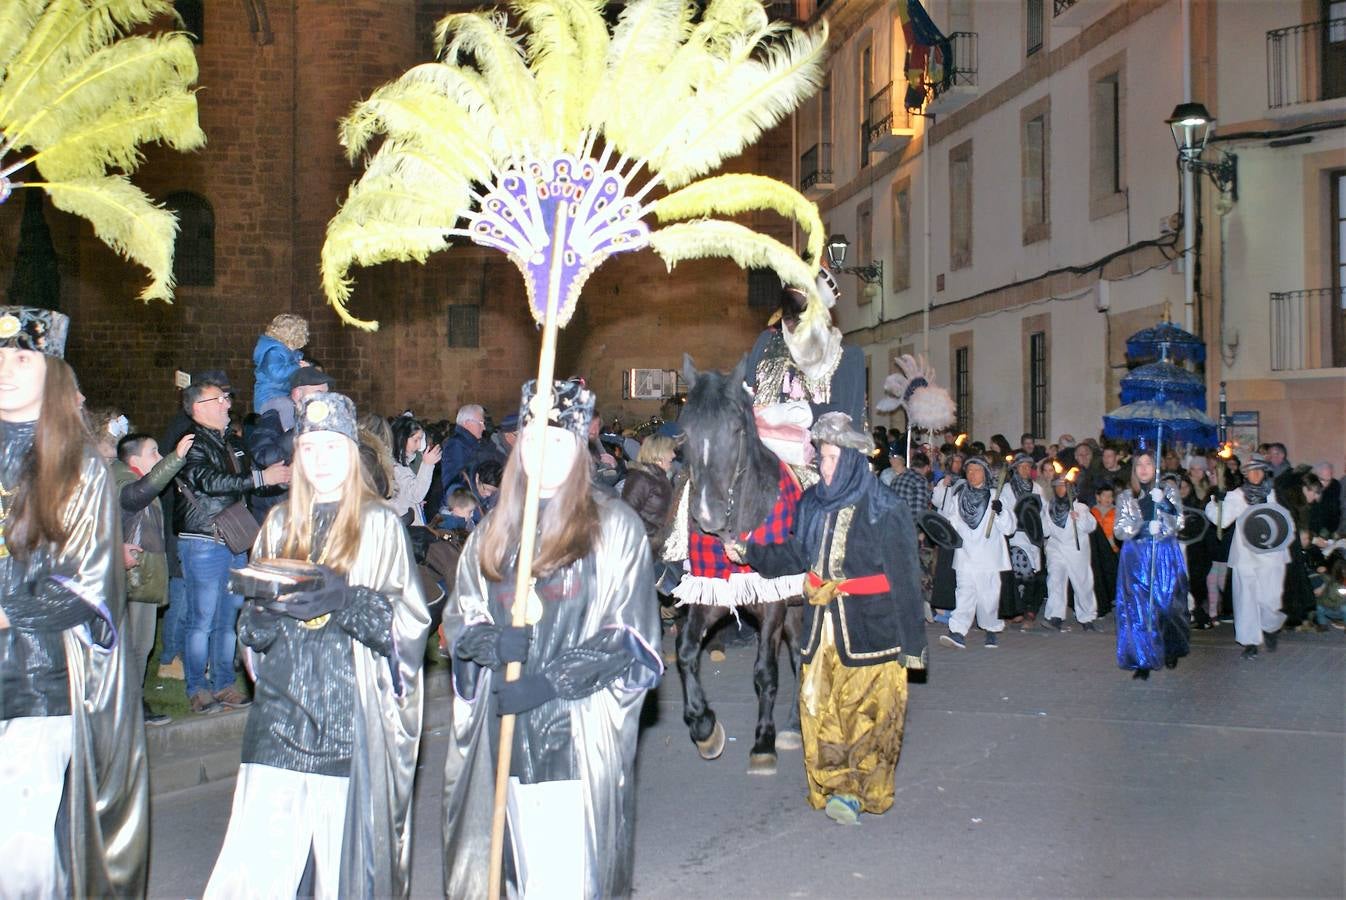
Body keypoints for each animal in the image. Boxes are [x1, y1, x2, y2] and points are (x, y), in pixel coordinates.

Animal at [673, 355, 796, 774]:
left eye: (736, 429)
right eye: (685, 431)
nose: (707, 514)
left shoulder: (775, 602)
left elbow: (766, 671)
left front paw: (763, 742)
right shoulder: (710, 592)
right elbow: (685, 651)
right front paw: (703, 726)